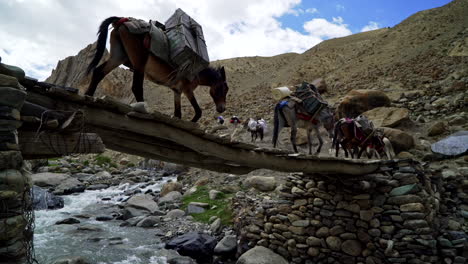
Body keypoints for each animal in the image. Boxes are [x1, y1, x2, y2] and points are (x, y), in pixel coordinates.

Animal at [86, 17, 230, 122]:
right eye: (223, 88)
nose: (222, 109)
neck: (198, 72)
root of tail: (123, 20)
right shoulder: (187, 90)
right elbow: (198, 112)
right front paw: (192, 122)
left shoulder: (177, 91)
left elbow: (178, 114)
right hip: (139, 62)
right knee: (136, 87)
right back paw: (142, 109)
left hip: (119, 56)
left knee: (98, 72)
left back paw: (88, 95)